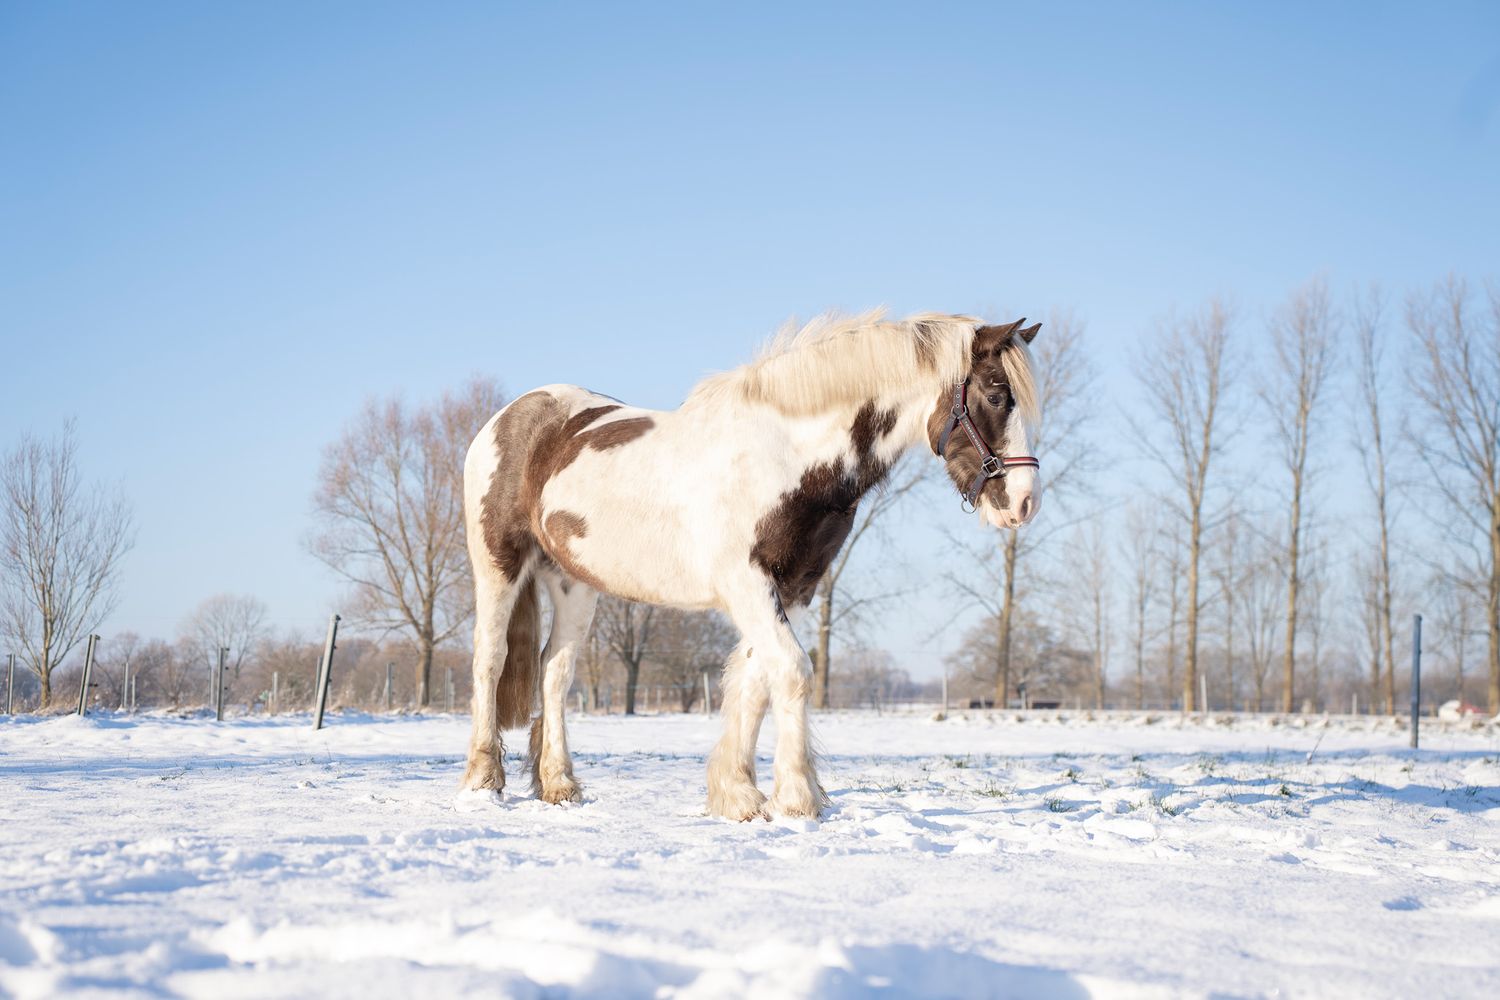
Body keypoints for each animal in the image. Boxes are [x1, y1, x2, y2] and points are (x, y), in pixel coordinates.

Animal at [460, 310, 1042, 819]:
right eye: (996, 395)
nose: (1024, 502)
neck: (786, 455)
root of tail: (509, 417)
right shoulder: (747, 583)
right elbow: (792, 671)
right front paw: (797, 799)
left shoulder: (798, 586)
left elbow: (754, 680)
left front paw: (738, 795)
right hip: (498, 564)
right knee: (490, 660)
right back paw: (483, 781)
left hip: (573, 583)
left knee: (554, 671)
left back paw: (559, 784)